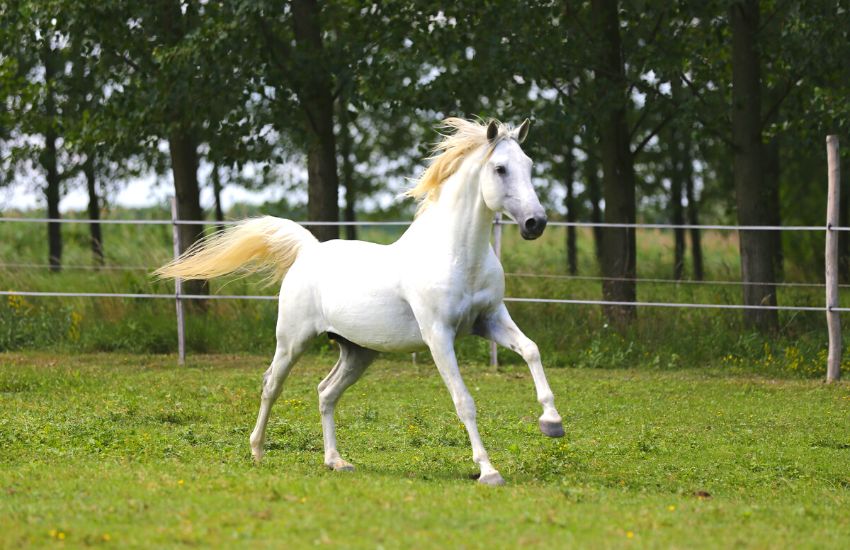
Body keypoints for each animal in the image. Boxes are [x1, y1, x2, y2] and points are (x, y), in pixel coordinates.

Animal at [155, 118, 563, 485]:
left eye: (529, 165)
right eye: (500, 168)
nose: (535, 223)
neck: (456, 255)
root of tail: (309, 250)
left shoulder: (490, 319)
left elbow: (531, 349)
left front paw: (552, 423)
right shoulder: (439, 336)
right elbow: (464, 401)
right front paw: (489, 472)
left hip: (358, 351)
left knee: (325, 392)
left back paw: (336, 461)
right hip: (292, 341)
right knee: (272, 384)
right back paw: (257, 451)